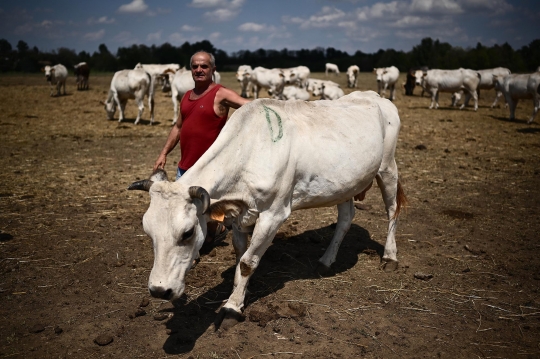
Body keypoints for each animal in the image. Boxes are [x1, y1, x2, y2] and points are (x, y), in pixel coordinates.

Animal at [127, 90, 404, 330]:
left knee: (392, 210)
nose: (159, 290)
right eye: (148, 232)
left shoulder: (274, 214)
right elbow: (240, 254)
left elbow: (248, 261)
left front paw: (231, 308)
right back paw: (326, 260)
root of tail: (375, 96)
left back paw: (390, 257)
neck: (249, 150)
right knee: (346, 219)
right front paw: (239, 293)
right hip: (346, 185)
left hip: (388, 168)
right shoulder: (235, 215)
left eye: (187, 233)